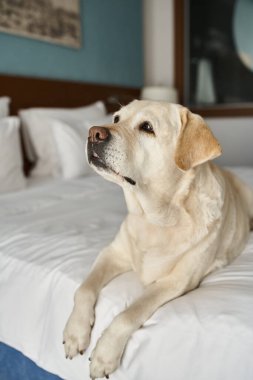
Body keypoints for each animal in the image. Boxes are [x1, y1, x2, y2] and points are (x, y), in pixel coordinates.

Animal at [63, 100, 253, 378]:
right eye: (116, 118)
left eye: (147, 127)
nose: (93, 132)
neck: (155, 218)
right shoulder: (111, 253)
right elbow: (84, 288)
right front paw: (75, 332)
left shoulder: (176, 282)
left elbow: (129, 313)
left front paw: (104, 354)